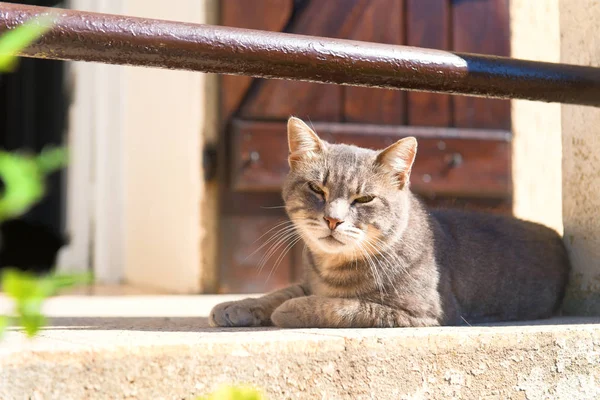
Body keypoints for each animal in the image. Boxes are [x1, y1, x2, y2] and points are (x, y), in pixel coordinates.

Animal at [209, 116, 568, 328]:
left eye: (364, 199)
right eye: (316, 188)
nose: (333, 219)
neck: (331, 268)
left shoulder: (418, 314)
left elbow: (341, 306)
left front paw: (288, 311)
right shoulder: (309, 281)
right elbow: (280, 291)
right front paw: (238, 305)